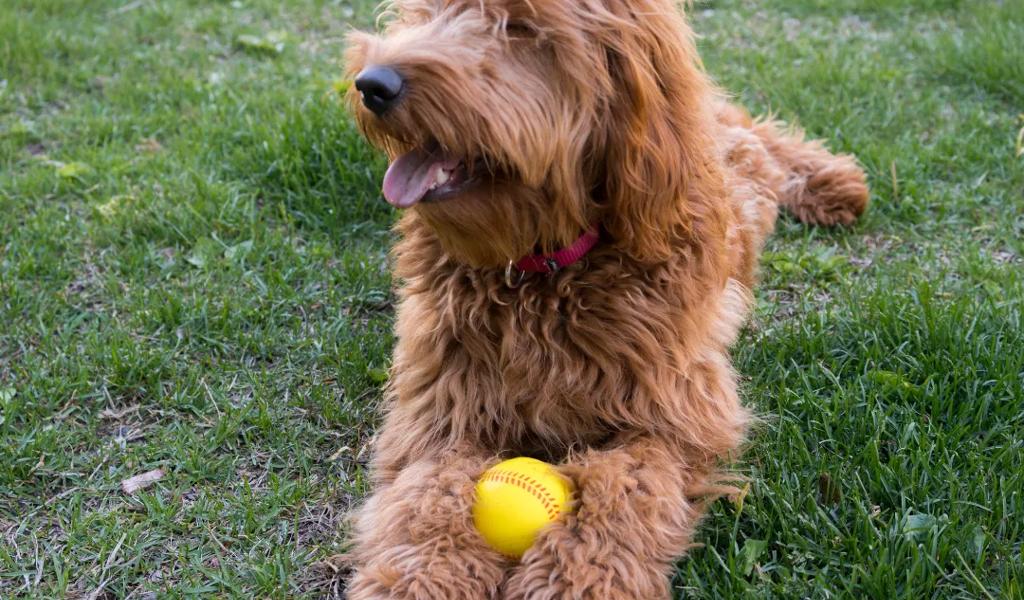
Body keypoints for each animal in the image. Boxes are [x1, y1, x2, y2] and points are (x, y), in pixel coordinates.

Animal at [342, 1, 864, 593]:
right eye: (422, 14)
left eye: (520, 28)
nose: (372, 83)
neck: (543, 271)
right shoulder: (442, 412)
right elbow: (427, 495)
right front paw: (422, 576)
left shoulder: (674, 418)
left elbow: (622, 488)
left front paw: (574, 576)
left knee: (759, 137)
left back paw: (831, 181)